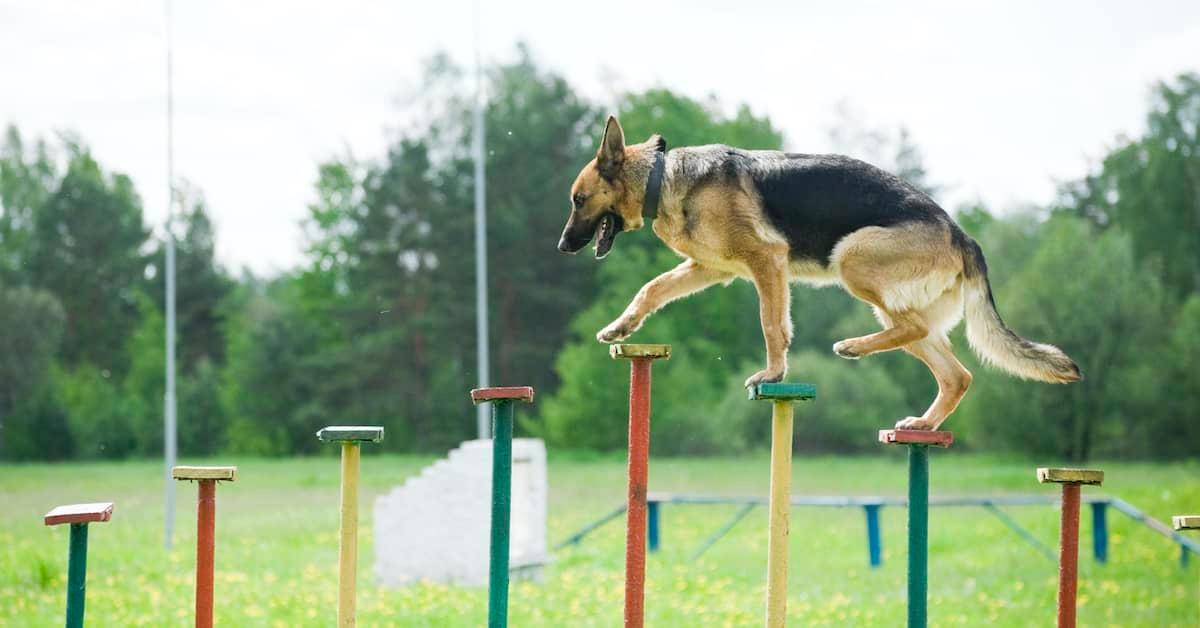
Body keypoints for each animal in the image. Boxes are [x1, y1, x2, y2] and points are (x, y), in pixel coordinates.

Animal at [556, 116, 1084, 432]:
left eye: (578, 200)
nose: (562, 247)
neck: (661, 177)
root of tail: (961, 234)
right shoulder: (709, 269)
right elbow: (651, 289)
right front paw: (621, 327)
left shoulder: (766, 262)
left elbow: (772, 325)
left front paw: (773, 373)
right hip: (898, 305)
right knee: (955, 373)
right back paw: (923, 423)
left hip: (851, 259)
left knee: (912, 329)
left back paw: (853, 347)